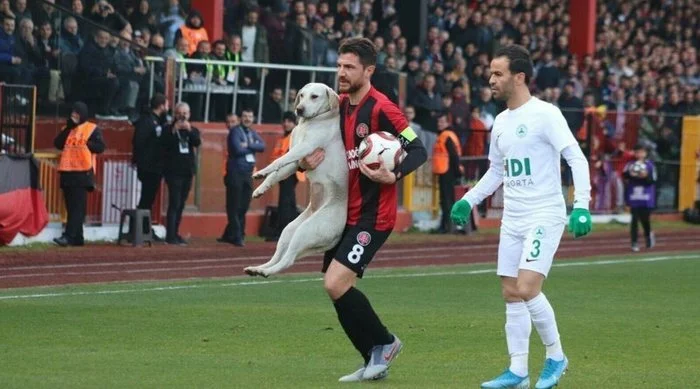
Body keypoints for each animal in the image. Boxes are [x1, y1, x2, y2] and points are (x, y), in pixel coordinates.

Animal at [245, 82, 348, 276]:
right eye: (301, 95)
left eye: (314, 96)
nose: (299, 109)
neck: (309, 123)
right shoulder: (295, 161)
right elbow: (276, 174)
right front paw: (260, 188)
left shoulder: (304, 148)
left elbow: (277, 162)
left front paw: (261, 172)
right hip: (289, 230)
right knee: (278, 257)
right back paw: (257, 269)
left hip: (305, 231)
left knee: (288, 260)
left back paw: (265, 272)